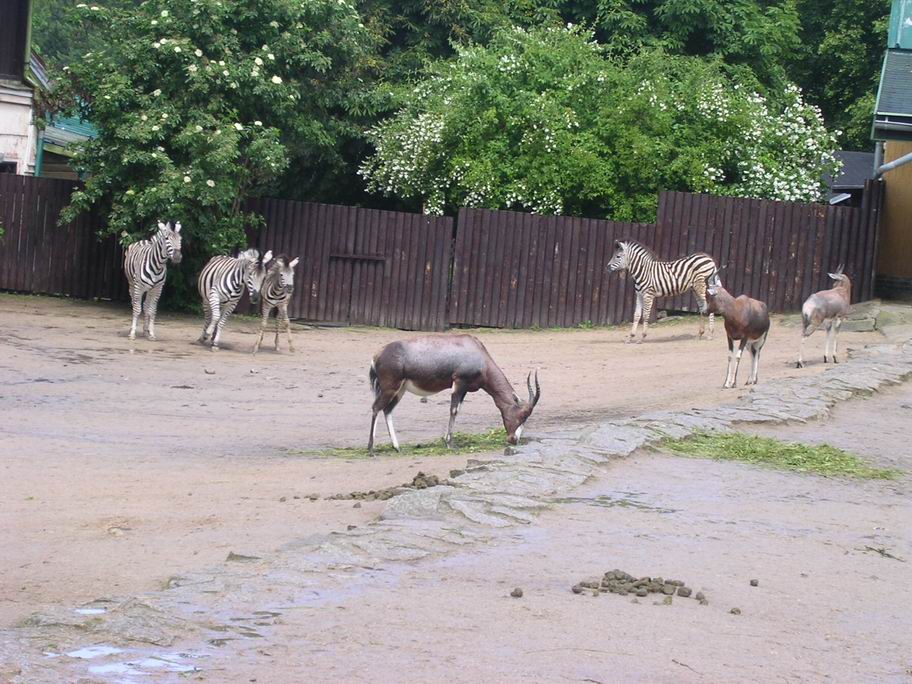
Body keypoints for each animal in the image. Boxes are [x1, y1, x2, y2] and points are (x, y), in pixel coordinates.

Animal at [366, 332, 540, 454]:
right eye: (523, 415)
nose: (514, 440)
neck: (477, 351)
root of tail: (376, 356)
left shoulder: (465, 389)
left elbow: (458, 410)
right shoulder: (459, 382)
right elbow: (454, 410)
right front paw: (449, 443)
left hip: (399, 390)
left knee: (387, 410)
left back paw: (397, 447)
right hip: (390, 388)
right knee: (376, 407)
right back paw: (371, 448)